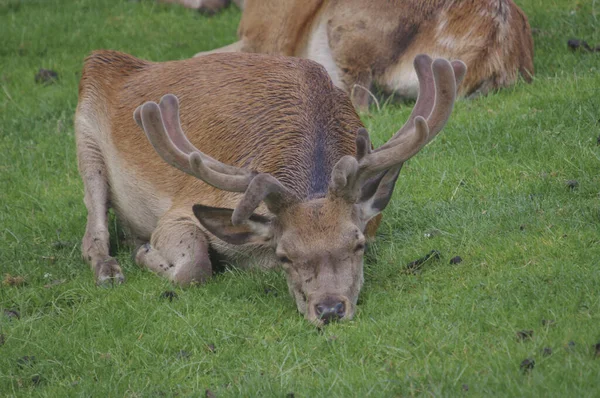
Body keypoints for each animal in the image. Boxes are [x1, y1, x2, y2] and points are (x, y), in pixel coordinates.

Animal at [75, 49, 466, 326]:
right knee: (92, 233)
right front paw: (146, 254)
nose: (329, 310)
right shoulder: (180, 210)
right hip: (85, 137)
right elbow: (196, 267)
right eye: (284, 255)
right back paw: (111, 269)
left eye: (358, 244)